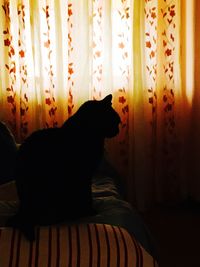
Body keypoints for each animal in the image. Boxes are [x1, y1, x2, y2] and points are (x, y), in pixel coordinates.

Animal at [7, 95, 121, 242]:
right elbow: (86, 194)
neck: (88, 134)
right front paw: (89, 211)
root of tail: (23, 211)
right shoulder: (84, 174)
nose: (118, 130)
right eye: (115, 120)